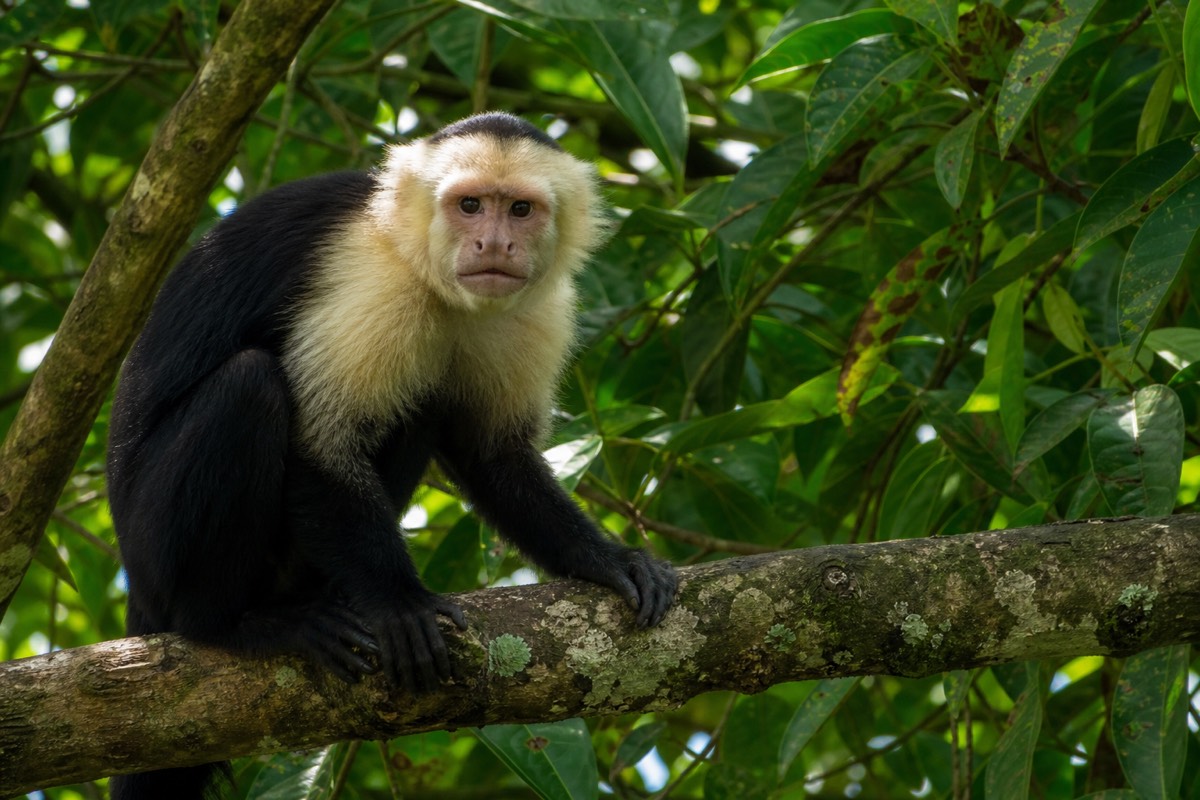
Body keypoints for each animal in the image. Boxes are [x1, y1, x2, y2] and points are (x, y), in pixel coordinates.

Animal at [105, 112, 678, 800]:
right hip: (152, 550)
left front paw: (605, 559)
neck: (428, 273)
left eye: (519, 210)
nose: (493, 245)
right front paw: (400, 602)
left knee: (423, 400)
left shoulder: (538, 309)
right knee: (249, 387)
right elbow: (320, 441)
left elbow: (495, 456)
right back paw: (233, 624)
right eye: (468, 205)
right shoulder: (369, 276)